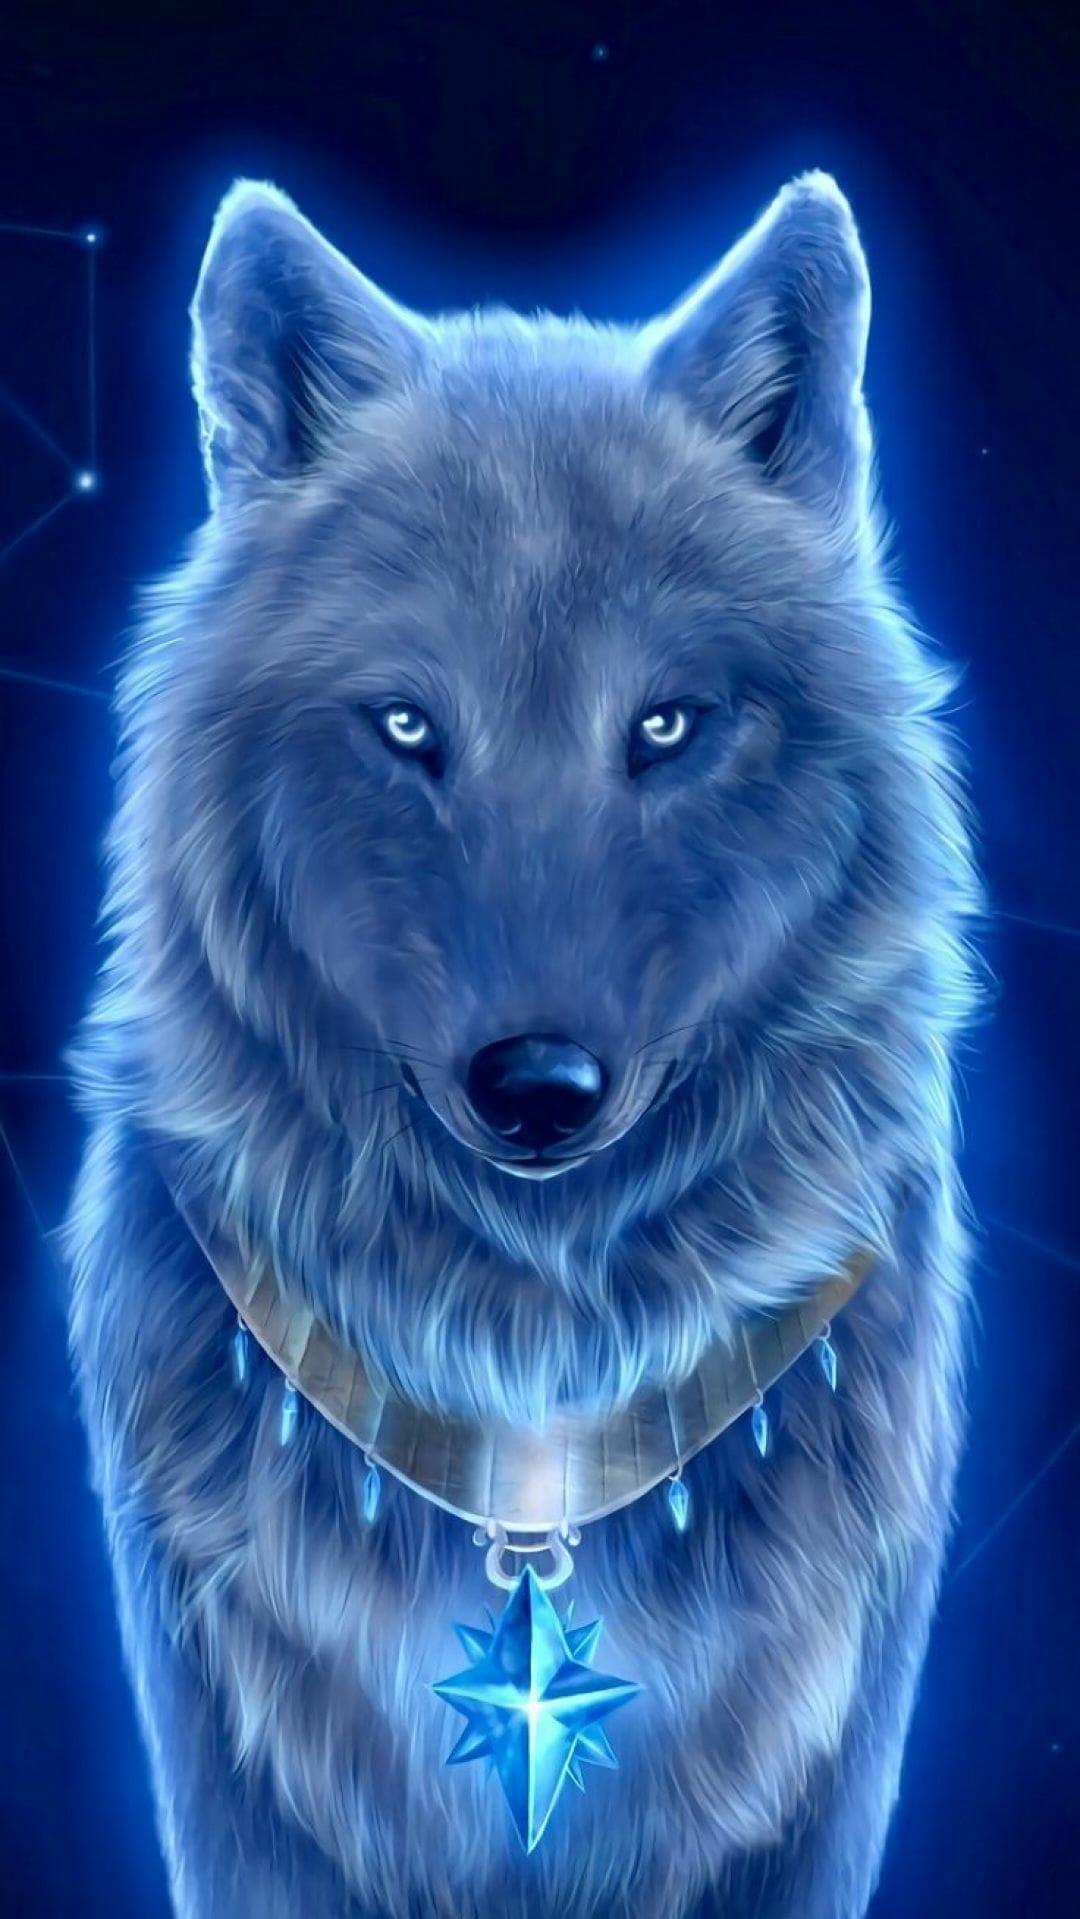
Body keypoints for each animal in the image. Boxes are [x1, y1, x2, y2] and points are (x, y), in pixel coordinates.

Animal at [65, 170, 979, 1918]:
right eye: (409, 725)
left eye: (669, 725)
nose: (539, 1089)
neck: (536, 1407)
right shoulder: (236, 1781)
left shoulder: (821, 1780)